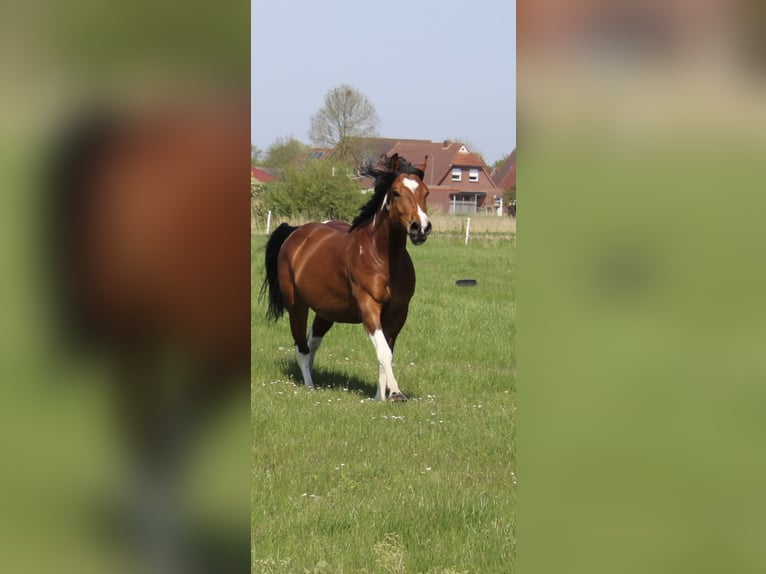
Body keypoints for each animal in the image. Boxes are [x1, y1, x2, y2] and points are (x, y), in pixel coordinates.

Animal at [262, 155, 432, 402]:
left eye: (426, 193)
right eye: (396, 193)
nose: (421, 228)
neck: (382, 257)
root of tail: (296, 233)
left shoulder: (398, 312)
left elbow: (385, 354)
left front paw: (379, 397)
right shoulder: (369, 307)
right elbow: (383, 351)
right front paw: (395, 394)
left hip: (326, 312)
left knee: (312, 343)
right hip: (297, 307)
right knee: (301, 347)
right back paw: (310, 387)